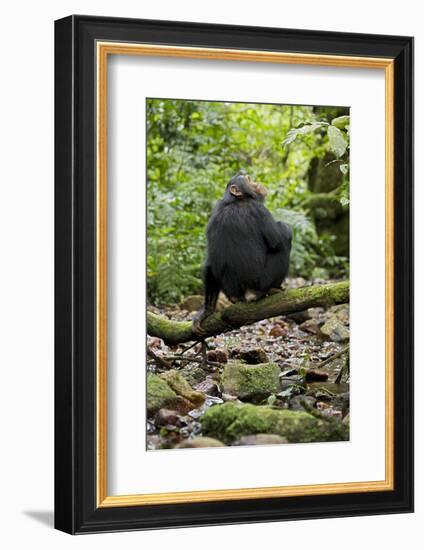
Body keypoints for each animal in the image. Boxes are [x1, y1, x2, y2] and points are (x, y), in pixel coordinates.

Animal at [194, 175, 294, 334]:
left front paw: (206, 311)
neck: (235, 200)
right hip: (262, 281)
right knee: (283, 244)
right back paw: (272, 290)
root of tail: (244, 294)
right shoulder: (258, 209)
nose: (255, 181)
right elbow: (278, 240)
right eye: (248, 179)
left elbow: (209, 261)